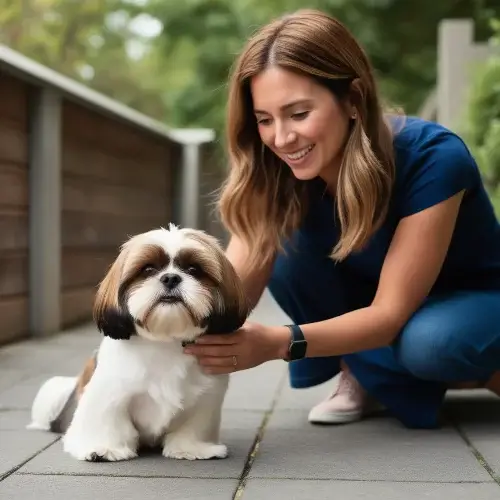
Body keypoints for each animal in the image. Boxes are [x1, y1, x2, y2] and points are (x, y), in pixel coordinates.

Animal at [27, 225, 248, 462]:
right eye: (148, 269)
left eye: (194, 269)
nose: (171, 278)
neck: (165, 341)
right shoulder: (110, 393)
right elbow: (110, 420)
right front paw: (104, 448)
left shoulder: (206, 398)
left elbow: (194, 424)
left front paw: (192, 448)